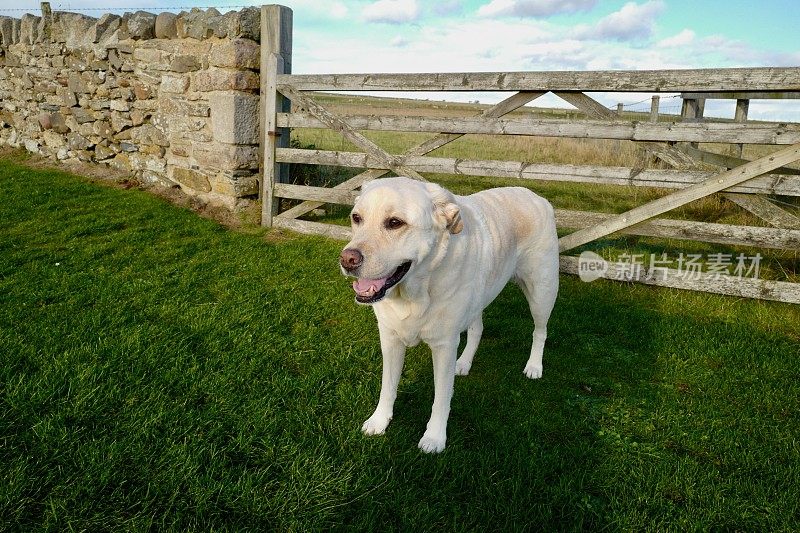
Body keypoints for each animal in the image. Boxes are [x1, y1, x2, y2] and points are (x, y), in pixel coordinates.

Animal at [338, 177, 556, 450]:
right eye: (356, 218)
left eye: (395, 223)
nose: (347, 259)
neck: (417, 290)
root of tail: (535, 195)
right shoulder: (390, 338)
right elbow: (387, 386)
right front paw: (379, 421)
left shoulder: (444, 346)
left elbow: (441, 396)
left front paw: (434, 437)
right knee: (478, 329)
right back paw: (464, 362)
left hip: (541, 292)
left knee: (540, 331)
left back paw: (534, 366)